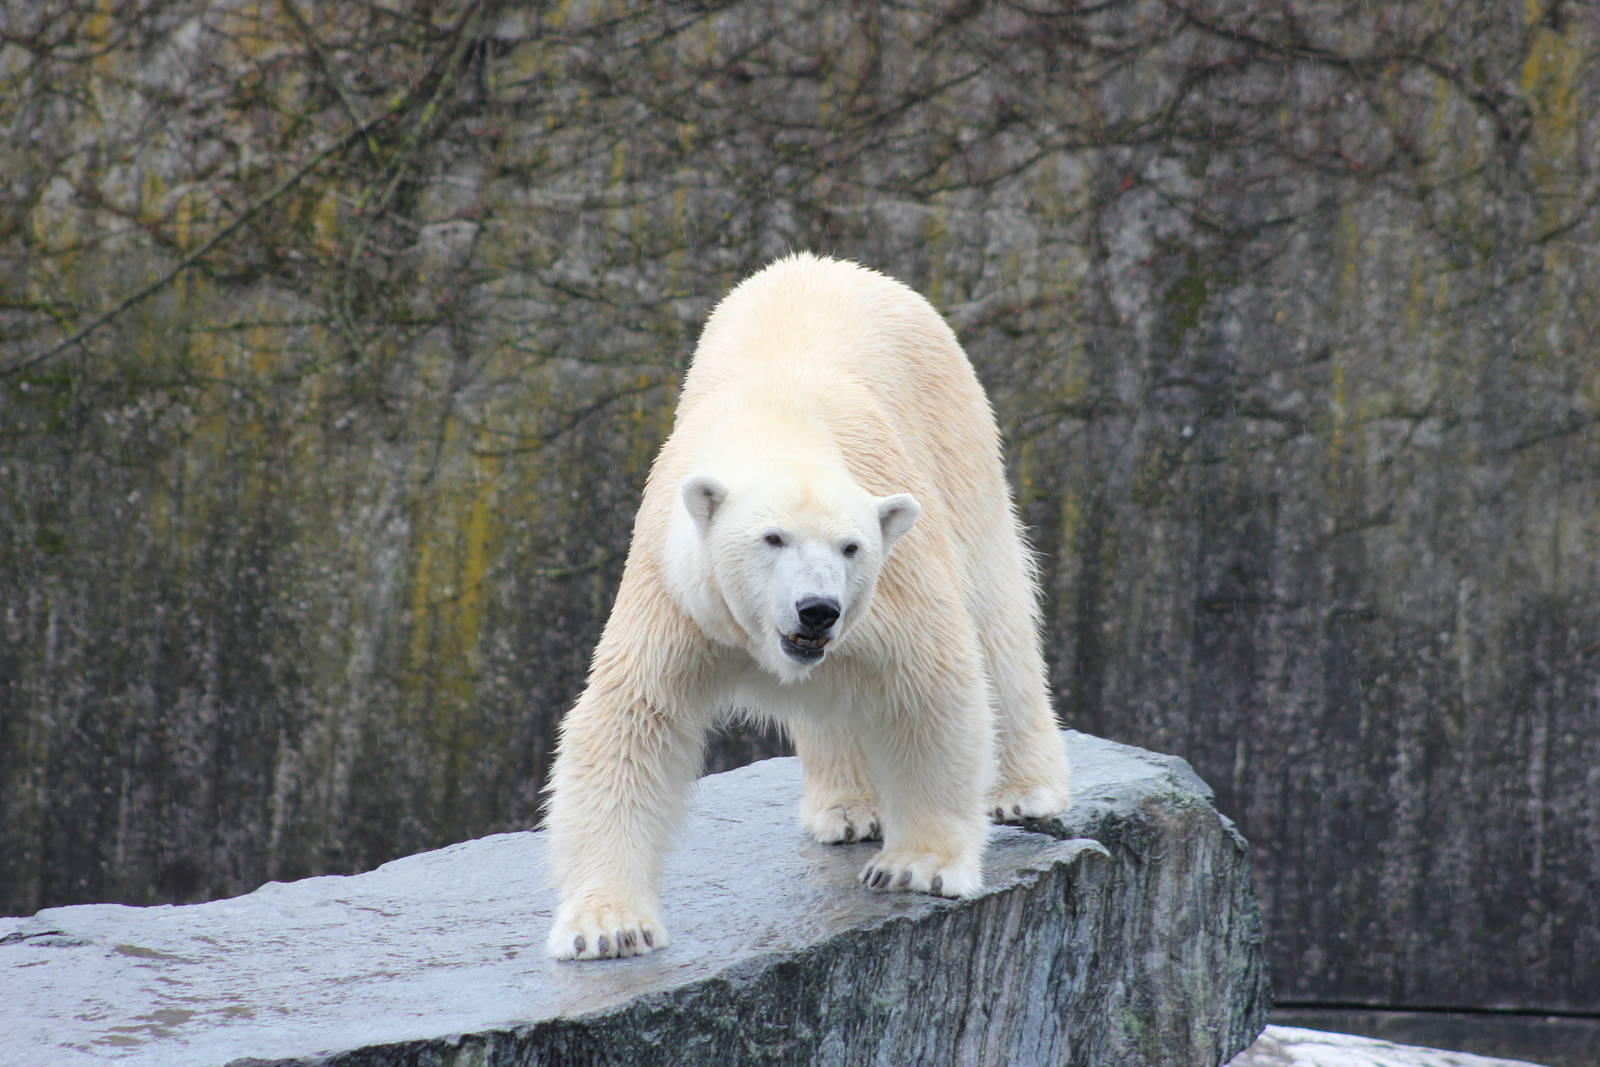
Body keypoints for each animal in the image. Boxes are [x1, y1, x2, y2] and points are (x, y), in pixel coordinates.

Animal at [543, 253, 1070, 960]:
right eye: (772, 538)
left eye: (851, 546)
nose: (817, 609)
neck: (774, 424)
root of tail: (842, 266)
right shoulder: (677, 589)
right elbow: (635, 719)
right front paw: (608, 926)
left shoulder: (894, 581)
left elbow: (931, 687)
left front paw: (919, 865)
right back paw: (847, 809)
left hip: (957, 434)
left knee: (997, 615)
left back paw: (1025, 791)